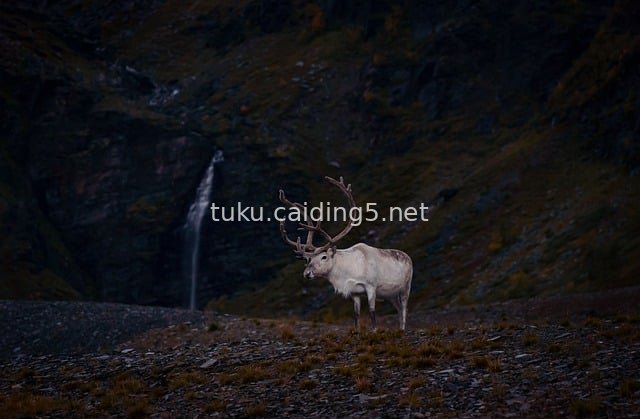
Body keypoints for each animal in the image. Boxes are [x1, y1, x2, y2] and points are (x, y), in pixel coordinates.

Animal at [278, 176, 413, 331]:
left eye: (324, 257)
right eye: (307, 260)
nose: (307, 273)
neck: (347, 271)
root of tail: (408, 257)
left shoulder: (371, 287)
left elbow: (372, 313)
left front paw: (374, 330)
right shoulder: (354, 292)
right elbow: (356, 315)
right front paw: (357, 330)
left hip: (405, 288)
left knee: (404, 309)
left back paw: (402, 329)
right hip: (390, 295)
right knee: (398, 309)